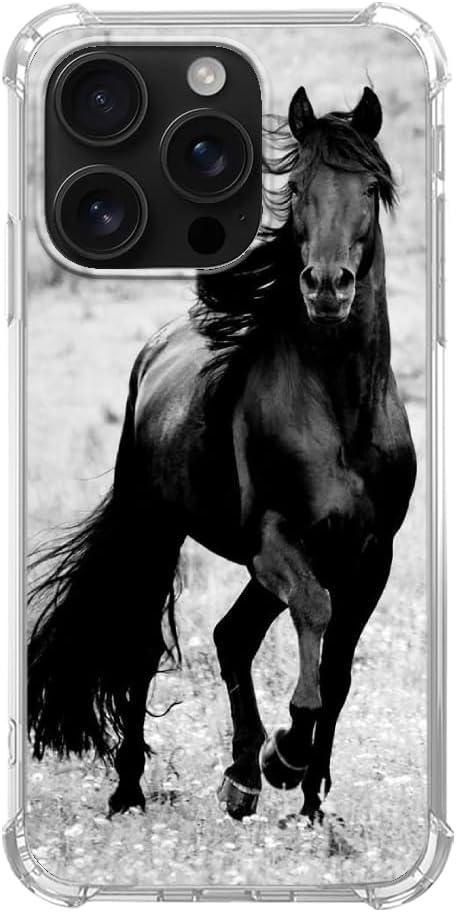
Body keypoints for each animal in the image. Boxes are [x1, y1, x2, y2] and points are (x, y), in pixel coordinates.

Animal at [28, 85, 416, 823]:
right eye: (295, 187)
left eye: (371, 188)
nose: (328, 286)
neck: (341, 414)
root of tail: (157, 349)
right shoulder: (275, 541)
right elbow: (315, 620)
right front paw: (285, 756)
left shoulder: (370, 556)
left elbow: (338, 672)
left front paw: (312, 805)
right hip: (156, 528)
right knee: (144, 645)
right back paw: (132, 791)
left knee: (233, 637)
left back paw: (241, 778)